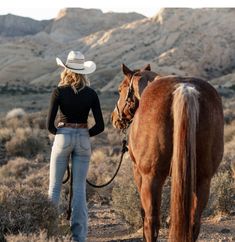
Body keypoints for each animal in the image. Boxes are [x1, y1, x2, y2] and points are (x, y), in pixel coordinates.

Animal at [111, 64, 223, 242]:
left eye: (120, 89)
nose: (114, 118)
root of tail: (185, 89)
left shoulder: (139, 173)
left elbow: (143, 214)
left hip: (152, 178)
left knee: (152, 222)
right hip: (203, 180)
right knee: (194, 223)